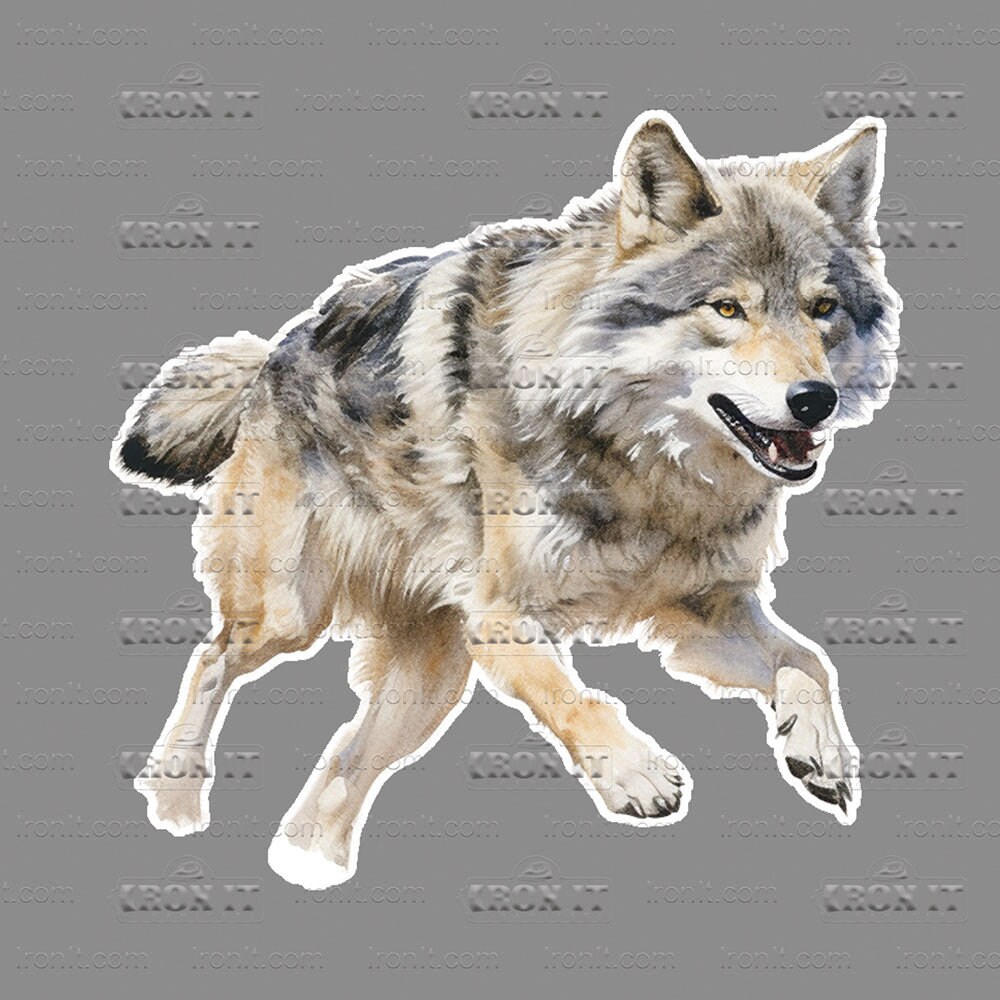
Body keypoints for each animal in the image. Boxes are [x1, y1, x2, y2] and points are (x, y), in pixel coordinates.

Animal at [110, 111, 900, 888]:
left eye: (822, 308)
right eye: (727, 308)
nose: (816, 399)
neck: (646, 469)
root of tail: (274, 351)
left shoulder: (702, 609)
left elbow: (810, 662)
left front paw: (821, 754)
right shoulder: (499, 618)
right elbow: (571, 695)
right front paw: (634, 773)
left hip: (427, 686)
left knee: (340, 763)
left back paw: (308, 865)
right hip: (289, 615)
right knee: (210, 661)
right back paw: (176, 799)